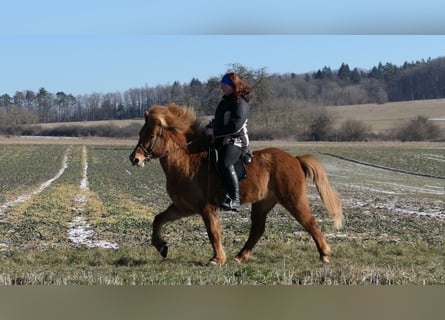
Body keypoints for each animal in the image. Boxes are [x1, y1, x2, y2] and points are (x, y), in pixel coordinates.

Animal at [130, 104, 342, 264]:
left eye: (151, 136)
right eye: (140, 133)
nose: (135, 159)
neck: (186, 160)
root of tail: (295, 159)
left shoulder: (206, 208)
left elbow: (213, 232)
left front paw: (217, 259)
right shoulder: (184, 207)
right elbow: (158, 219)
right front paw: (161, 246)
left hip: (293, 200)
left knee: (309, 222)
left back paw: (324, 254)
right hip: (263, 203)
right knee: (257, 230)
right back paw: (240, 256)